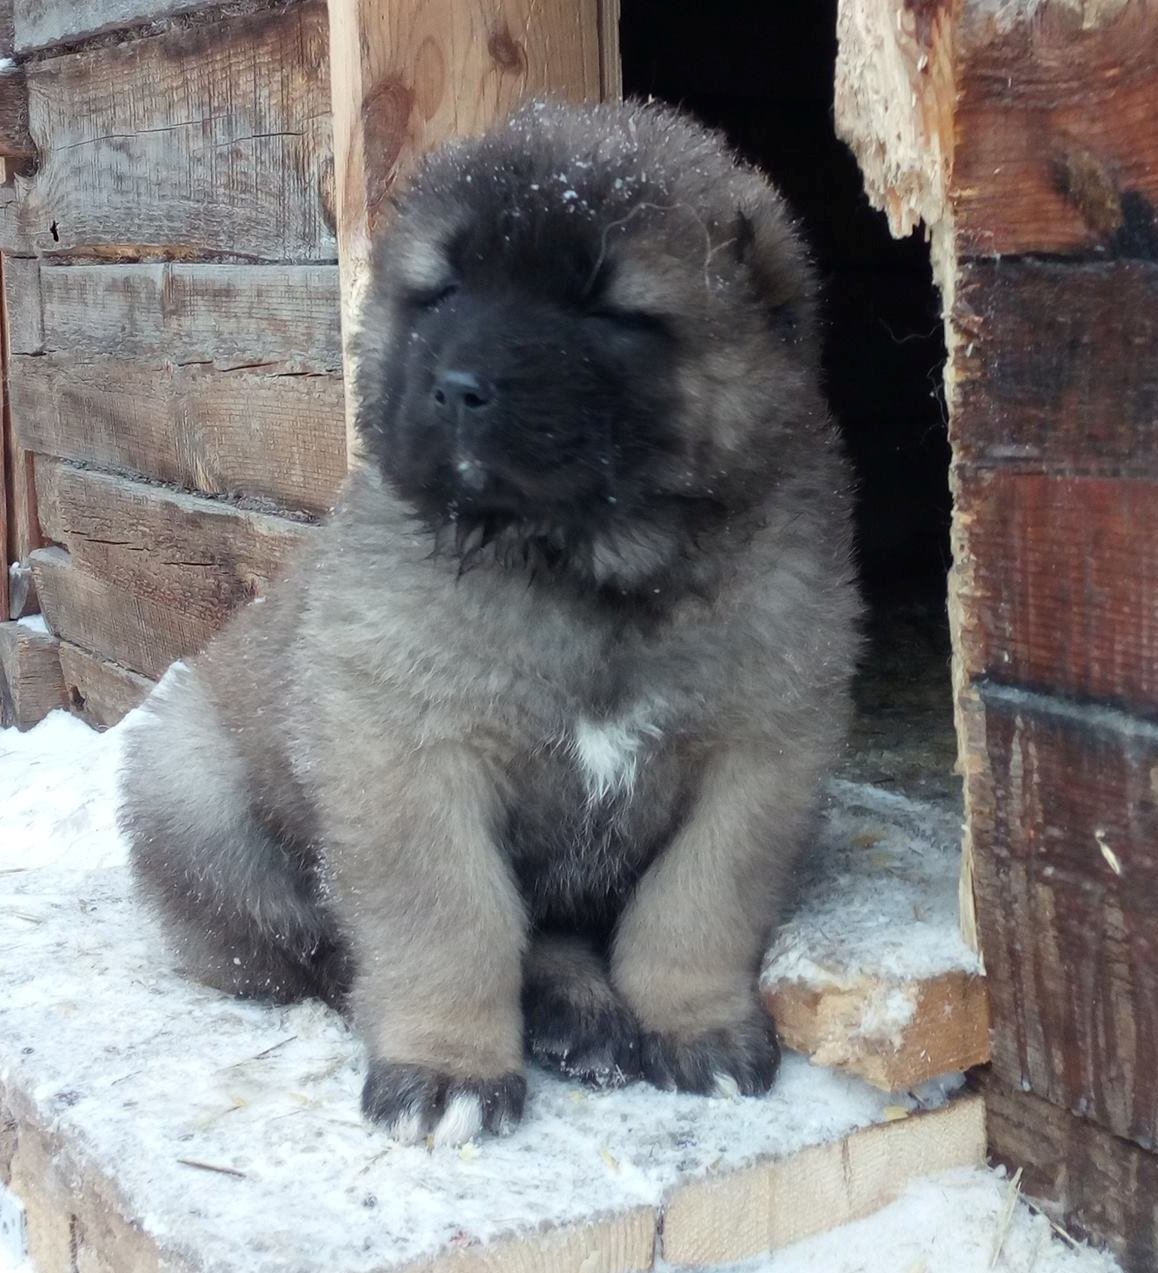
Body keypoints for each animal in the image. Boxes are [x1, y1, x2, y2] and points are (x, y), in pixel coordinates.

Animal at [120, 101, 860, 1145]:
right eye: (441, 292)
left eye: (607, 310)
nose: (460, 387)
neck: (584, 569)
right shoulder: (411, 761)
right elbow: (454, 922)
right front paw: (446, 1068)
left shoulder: (763, 753)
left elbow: (697, 901)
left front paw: (696, 1024)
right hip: (190, 784)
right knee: (311, 943)